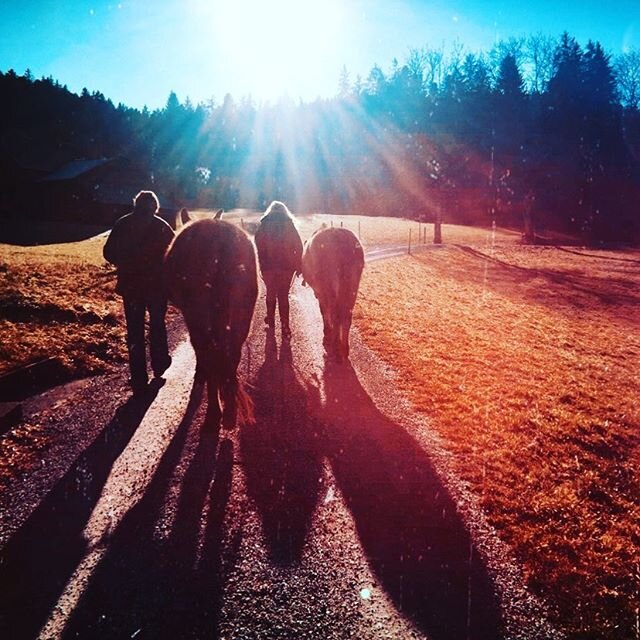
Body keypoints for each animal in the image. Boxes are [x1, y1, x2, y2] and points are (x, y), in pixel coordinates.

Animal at [165, 216, 258, 430]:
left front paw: (199, 375)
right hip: (242, 316)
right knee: (232, 354)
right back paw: (229, 410)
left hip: (198, 315)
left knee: (209, 353)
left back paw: (215, 411)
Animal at [302, 228, 362, 360]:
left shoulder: (320, 293)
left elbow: (324, 312)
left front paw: (327, 332)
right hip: (352, 289)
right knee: (346, 316)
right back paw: (344, 348)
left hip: (329, 288)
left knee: (335, 314)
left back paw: (335, 346)